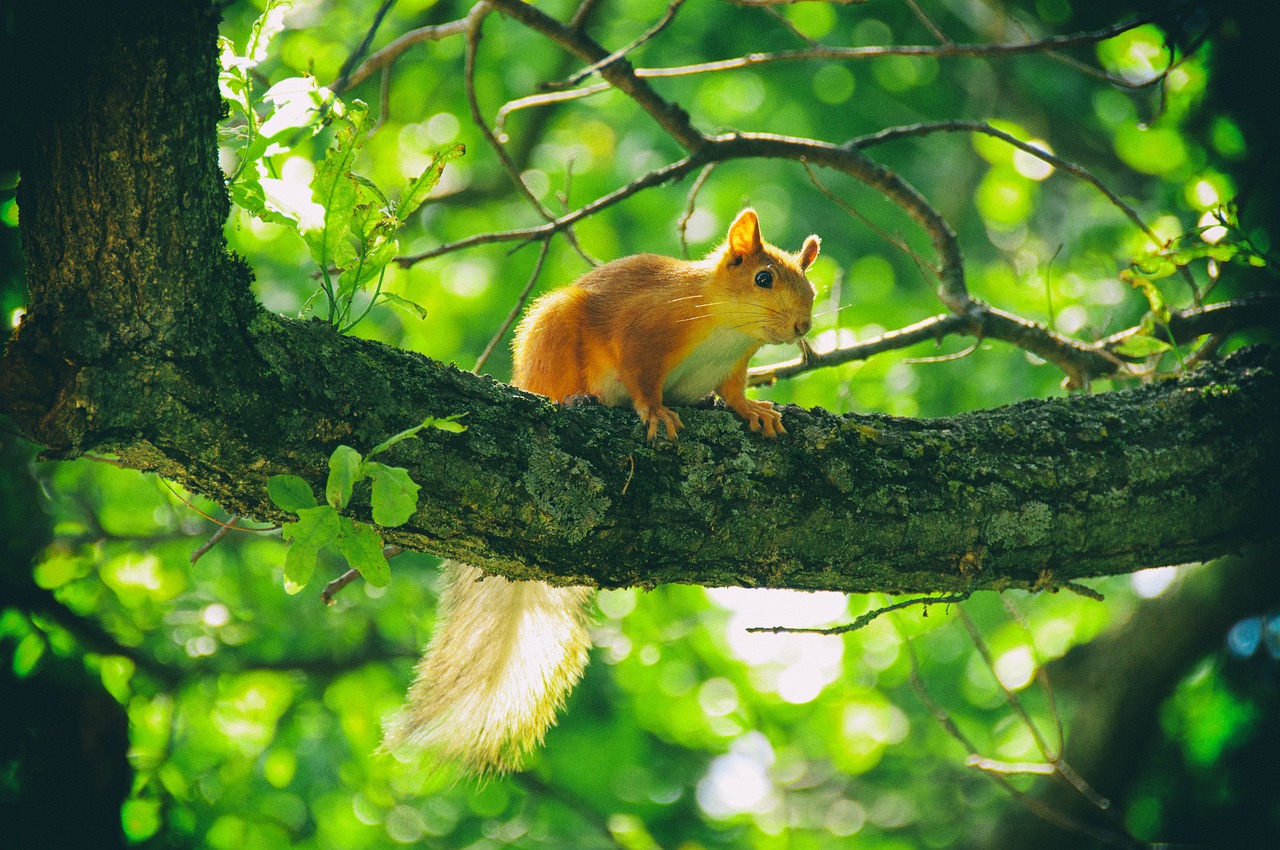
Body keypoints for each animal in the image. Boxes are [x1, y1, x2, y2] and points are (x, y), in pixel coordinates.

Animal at [381, 208, 819, 773]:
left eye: (810, 286)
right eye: (764, 278)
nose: (802, 326)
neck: (724, 327)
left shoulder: (733, 363)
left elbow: (733, 392)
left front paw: (753, 411)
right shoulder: (643, 330)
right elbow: (640, 378)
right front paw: (655, 412)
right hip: (553, 334)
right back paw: (577, 398)